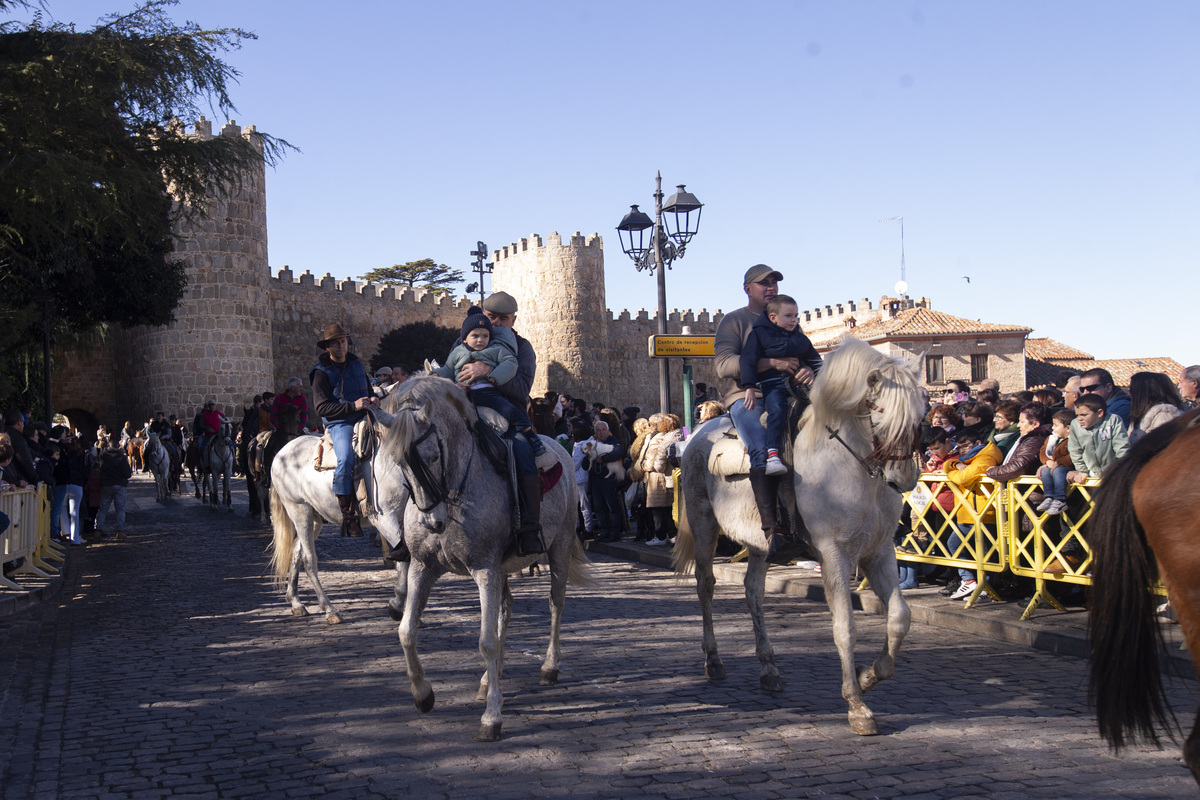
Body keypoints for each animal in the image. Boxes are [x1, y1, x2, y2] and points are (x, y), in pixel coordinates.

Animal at [376, 379, 592, 743]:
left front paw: (492, 717)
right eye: (400, 463)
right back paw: (489, 679)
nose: (432, 522)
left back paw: (549, 667)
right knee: (507, 607)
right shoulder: (423, 567)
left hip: (559, 548)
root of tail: (559, 446)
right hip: (504, 568)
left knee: (556, 604)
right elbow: (406, 631)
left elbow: (486, 641)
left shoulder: (484, 570)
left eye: (433, 456)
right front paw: (423, 694)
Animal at [681, 335, 921, 734]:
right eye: (880, 411)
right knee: (706, 585)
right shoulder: (835, 554)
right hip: (703, 524)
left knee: (753, 592)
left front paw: (868, 675)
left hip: (760, 543)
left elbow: (899, 618)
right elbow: (845, 627)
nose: (905, 478)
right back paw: (713, 660)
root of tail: (699, 433)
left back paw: (769, 668)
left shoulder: (878, 552)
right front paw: (857, 704)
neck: (851, 465)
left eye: (922, 414)